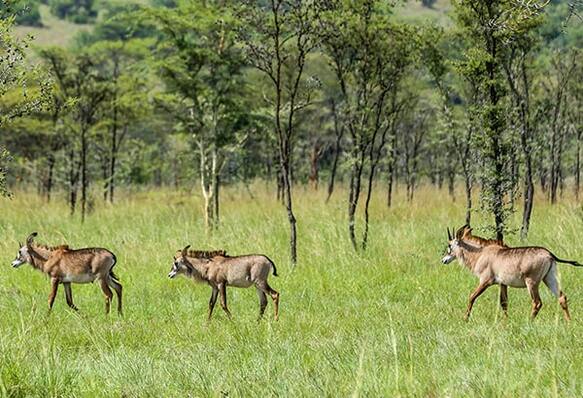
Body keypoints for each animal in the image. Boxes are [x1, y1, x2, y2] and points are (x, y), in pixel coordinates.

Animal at [442, 224, 580, 320]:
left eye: (449, 245)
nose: (443, 260)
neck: (481, 253)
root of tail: (549, 254)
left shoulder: (485, 281)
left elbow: (472, 297)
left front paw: (465, 318)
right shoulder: (502, 284)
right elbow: (504, 303)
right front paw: (506, 322)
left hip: (532, 283)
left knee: (537, 302)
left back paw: (529, 322)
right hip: (549, 278)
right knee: (562, 297)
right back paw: (569, 322)